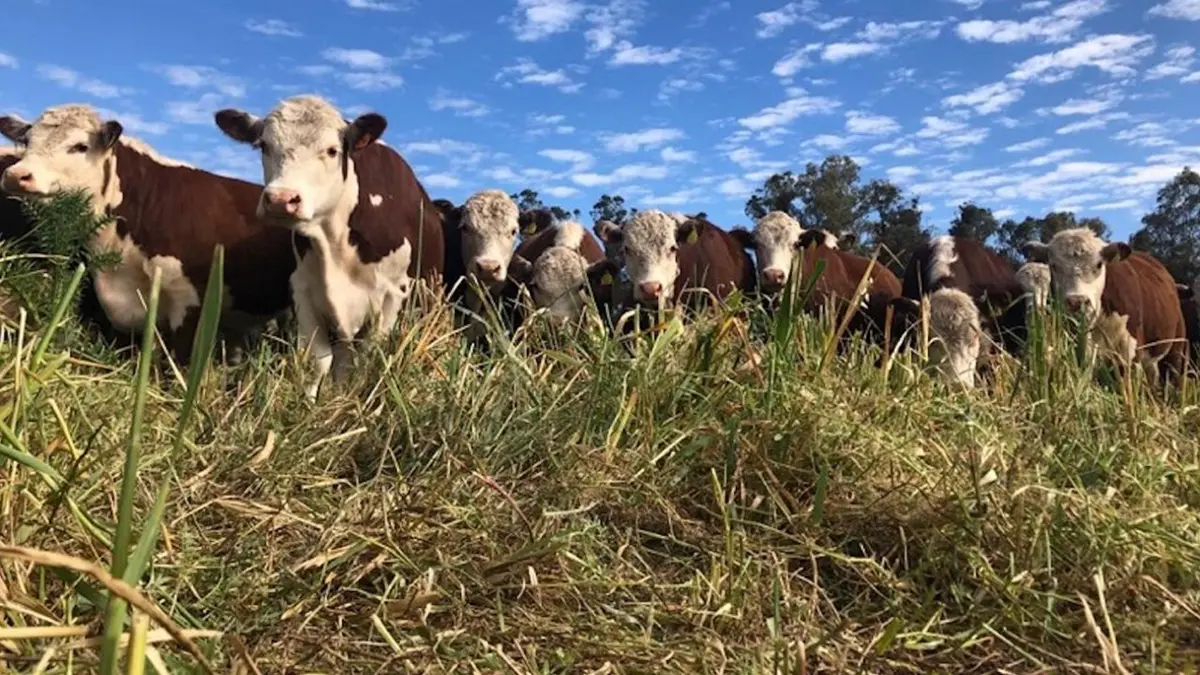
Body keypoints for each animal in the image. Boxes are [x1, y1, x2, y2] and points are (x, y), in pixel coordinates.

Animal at [213, 95, 444, 398]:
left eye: (333, 151)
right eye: (263, 145)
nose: (281, 199)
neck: (334, 243)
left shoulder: (394, 294)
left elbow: (369, 358)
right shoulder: (303, 289)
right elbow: (318, 361)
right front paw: (309, 404)